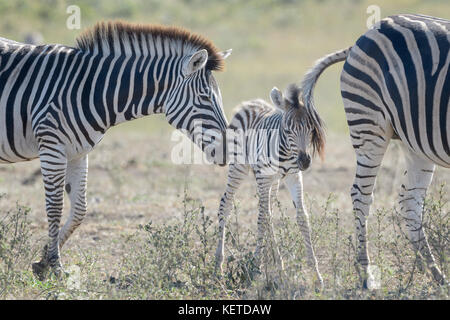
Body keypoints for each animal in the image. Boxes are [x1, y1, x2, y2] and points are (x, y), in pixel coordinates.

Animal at [0, 21, 232, 278]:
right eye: (205, 97)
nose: (228, 151)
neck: (90, 90)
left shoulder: (77, 152)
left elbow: (79, 209)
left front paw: (42, 261)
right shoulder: (52, 147)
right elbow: (55, 208)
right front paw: (56, 266)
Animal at [214, 83, 324, 288]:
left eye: (311, 128)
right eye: (288, 130)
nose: (305, 161)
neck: (287, 153)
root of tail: (251, 103)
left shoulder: (294, 177)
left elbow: (302, 218)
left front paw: (316, 275)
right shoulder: (264, 177)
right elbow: (261, 218)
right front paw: (255, 268)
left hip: (275, 181)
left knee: (270, 213)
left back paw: (279, 265)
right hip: (240, 168)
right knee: (226, 204)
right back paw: (218, 265)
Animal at [300, 13, 448, 288]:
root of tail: (362, 37)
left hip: (417, 142)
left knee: (410, 199)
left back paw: (436, 273)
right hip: (369, 127)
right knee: (361, 194)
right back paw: (365, 274)